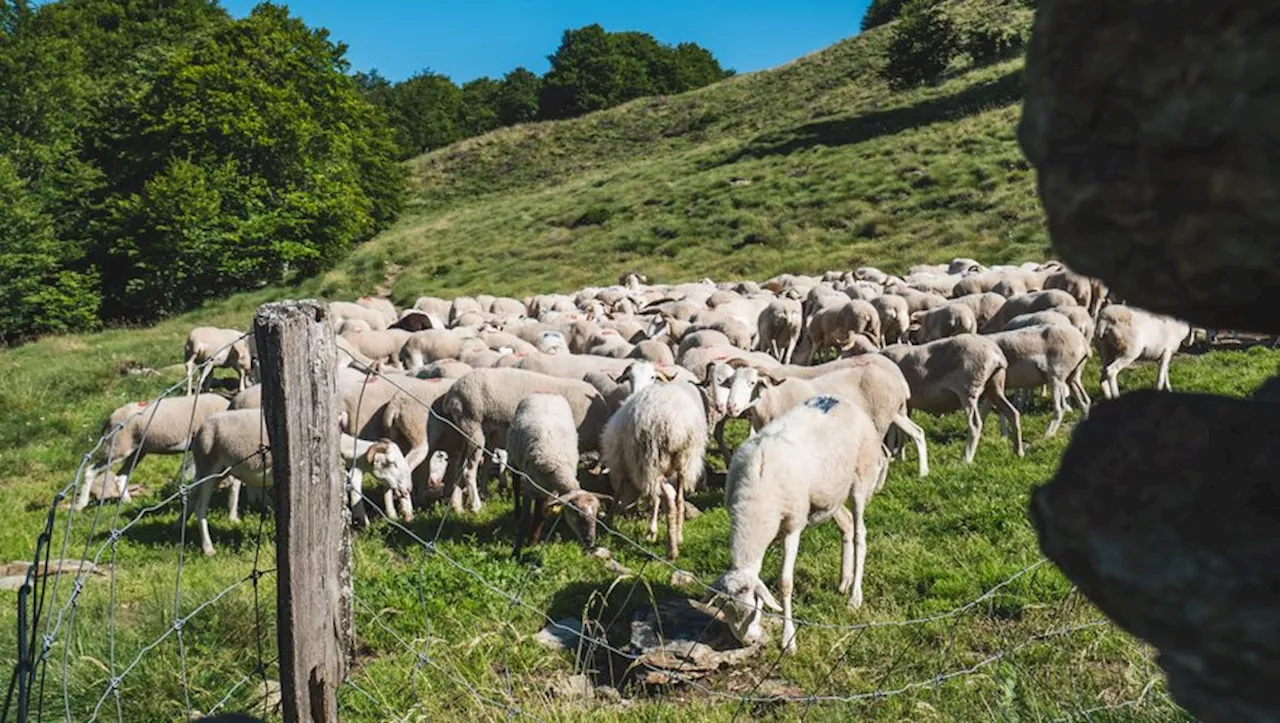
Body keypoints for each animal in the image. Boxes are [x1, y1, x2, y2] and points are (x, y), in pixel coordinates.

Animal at [76, 391, 231, 509]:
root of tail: (111, 418)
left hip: (137, 451)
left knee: (121, 476)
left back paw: (127, 502)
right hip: (118, 447)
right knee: (90, 470)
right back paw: (80, 505)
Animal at [186, 409, 409, 555]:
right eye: (391, 463)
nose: (407, 489)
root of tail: (200, 429)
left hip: (218, 472)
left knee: (191, 495)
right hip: (208, 467)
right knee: (200, 506)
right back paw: (208, 548)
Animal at [506, 394, 606, 552]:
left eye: (596, 514)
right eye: (576, 513)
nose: (590, 542)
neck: (558, 466)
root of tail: (546, 394)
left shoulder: (550, 492)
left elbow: (542, 514)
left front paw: (532, 543)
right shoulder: (529, 488)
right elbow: (524, 520)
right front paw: (516, 552)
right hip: (514, 458)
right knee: (516, 484)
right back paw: (516, 512)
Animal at [701, 394, 890, 655]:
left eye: (752, 606)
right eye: (723, 610)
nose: (746, 642)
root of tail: (840, 399)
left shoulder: (793, 524)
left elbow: (785, 583)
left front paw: (788, 640)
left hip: (861, 478)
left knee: (860, 533)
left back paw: (854, 597)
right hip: (830, 494)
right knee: (847, 523)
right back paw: (844, 581)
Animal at [875, 335, 1024, 460]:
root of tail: (997, 355)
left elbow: (899, 429)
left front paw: (898, 455)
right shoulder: (905, 404)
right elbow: (899, 429)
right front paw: (897, 453)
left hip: (968, 390)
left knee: (975, 424)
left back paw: (966, 459)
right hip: (995, 387)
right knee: (1013, 413)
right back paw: (1018, 451)